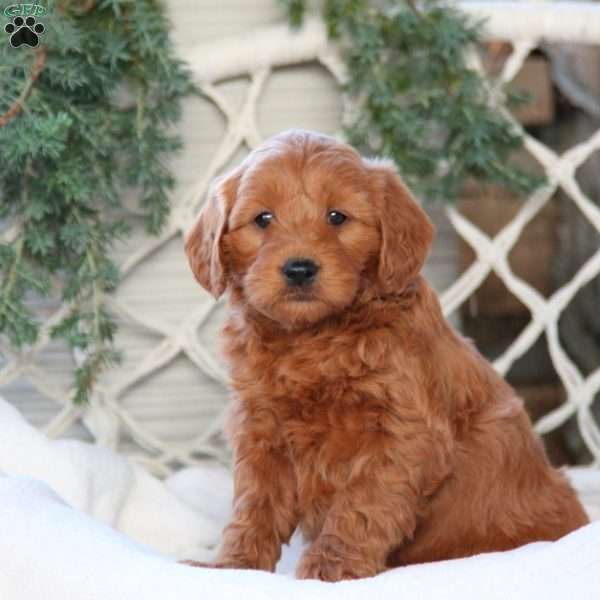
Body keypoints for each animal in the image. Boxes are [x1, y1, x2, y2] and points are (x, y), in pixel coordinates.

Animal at [185, 127, 588, 580]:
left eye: (337, 217)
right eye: (263, 219)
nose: (300, 269)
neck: (312, 340)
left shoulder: (402, 434)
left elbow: (362, 503)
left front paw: (331, 567)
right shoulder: (261, 430)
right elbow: (255, 505)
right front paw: (232, 566)